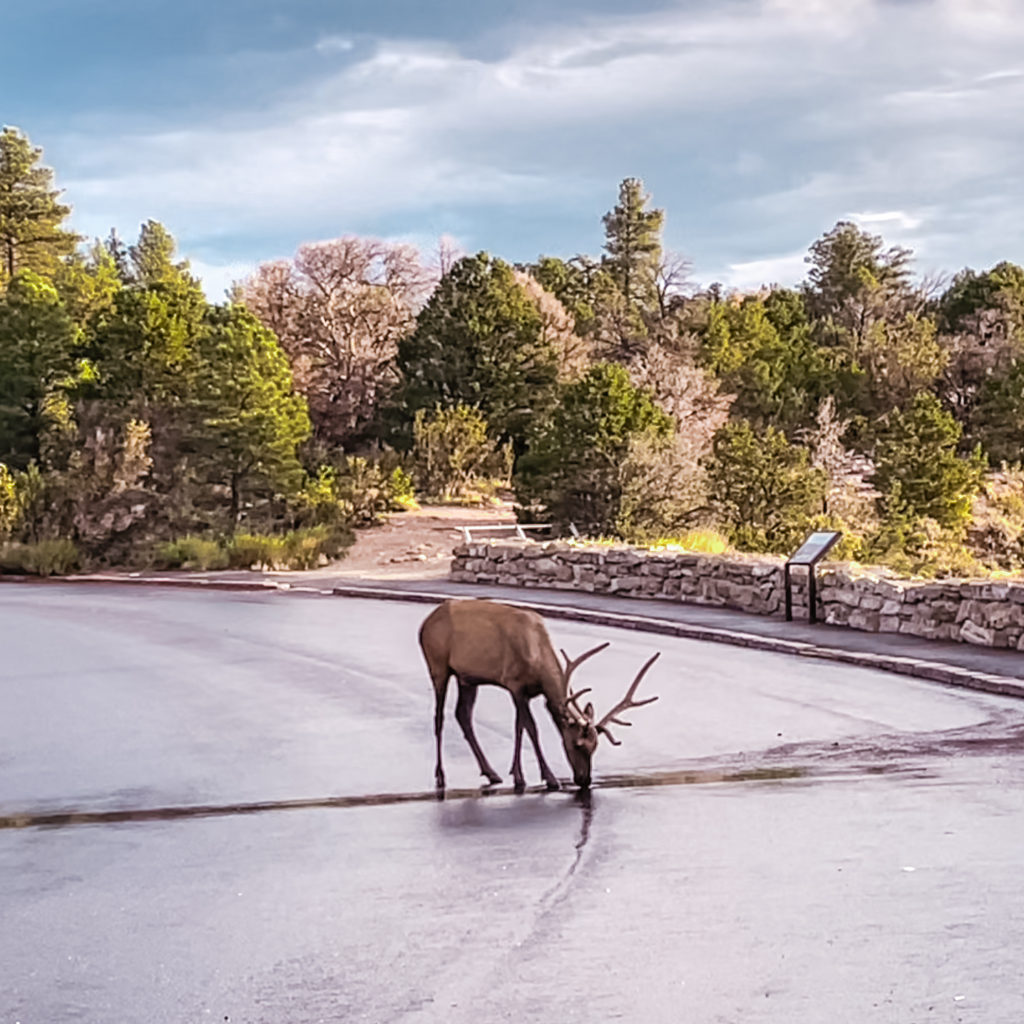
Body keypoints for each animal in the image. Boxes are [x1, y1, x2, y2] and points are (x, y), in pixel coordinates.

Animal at [419, 598, 659, 790]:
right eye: (576, 744)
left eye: (595, 747)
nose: (584, 781)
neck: (537, 657)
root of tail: (424, 625)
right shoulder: (514, 683)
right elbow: (531, 728)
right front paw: (549, 778)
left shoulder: (525, 692)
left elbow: (519, 727)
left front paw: (517, 775)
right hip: (438, 665)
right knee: (439, 717)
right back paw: (440, 776)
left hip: (467, 678)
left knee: (463, 715)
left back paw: (492, 773)